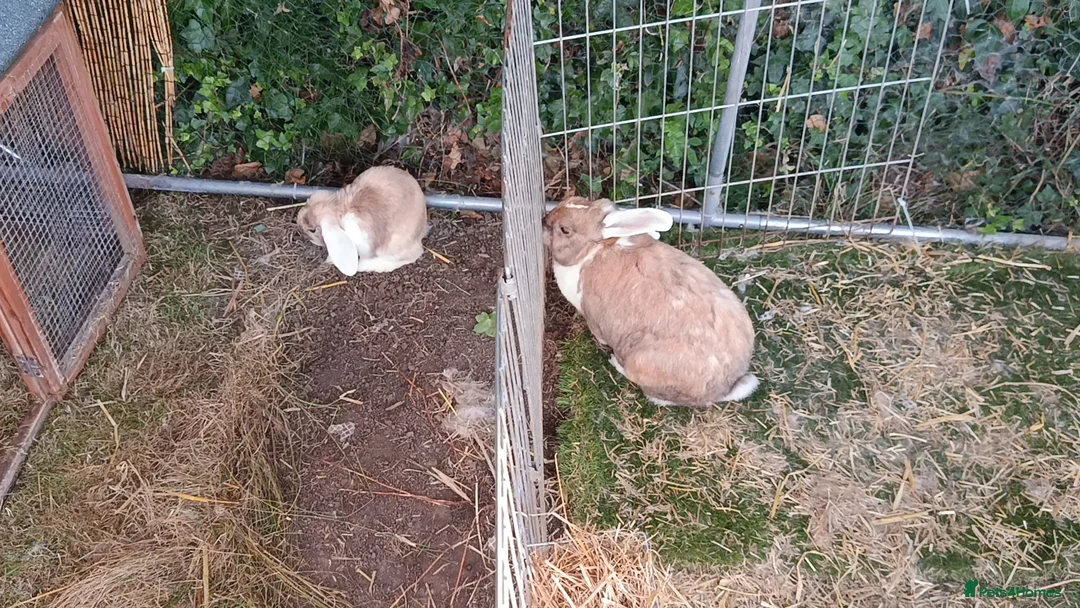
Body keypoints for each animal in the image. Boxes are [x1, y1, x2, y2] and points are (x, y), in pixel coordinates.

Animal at [296, 166, 428, 276]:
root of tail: (422, 229)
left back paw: (363, 265)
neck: (339, 211)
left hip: (393, 247)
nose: (298, 225)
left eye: (312, 230)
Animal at [543, 196, 758, 408]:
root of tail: (724, 388)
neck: (593, 248)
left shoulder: (594, 320)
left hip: (639, 361)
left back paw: (616, 362)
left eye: (565, 230)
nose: (544, 221)